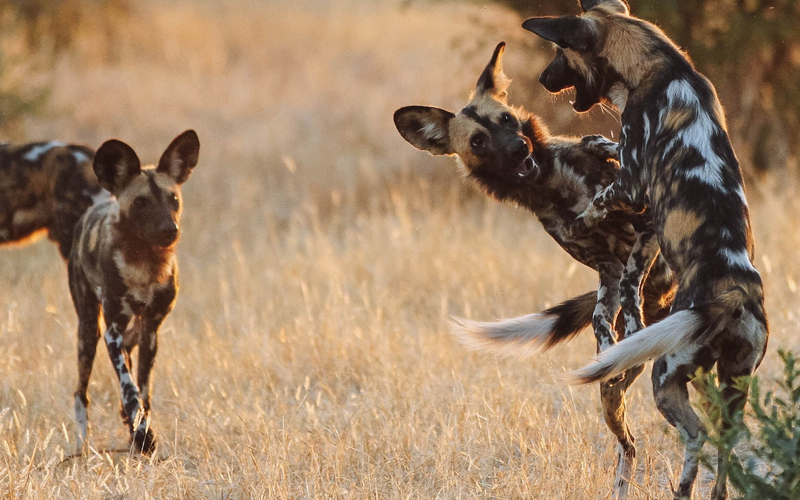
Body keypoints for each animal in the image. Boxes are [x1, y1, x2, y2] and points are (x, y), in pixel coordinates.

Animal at [69, 131, 200, 456]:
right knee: (80, 393)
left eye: (173, 199)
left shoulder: (150, 332)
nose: (170, 229)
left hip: (131, 334)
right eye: (141, 202)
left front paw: (141, 433)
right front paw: (143, 437)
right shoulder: (112, 333)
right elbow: (129, 390)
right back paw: (82, 445)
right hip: (88, 332)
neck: (145, 265)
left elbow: (143, 392)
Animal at [394, 41, 676, 498]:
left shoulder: (645, 226)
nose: (518, 149)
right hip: (615, 400)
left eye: (506, 119)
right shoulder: (608, 269)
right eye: (478, 140)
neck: (553, 185)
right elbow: (609, 313)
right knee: (627, 438)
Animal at [524, 1, 768, 498]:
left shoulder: (635, 183)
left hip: (666, 374)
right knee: (725, 443)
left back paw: (682, 487)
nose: (542, 78)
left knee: (695, 434)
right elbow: (612, 147)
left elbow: (600, 199)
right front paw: (596, 141)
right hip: (730, 384)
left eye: (558, 52)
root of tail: (736, 290)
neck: (661, 65)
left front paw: (580, 221)